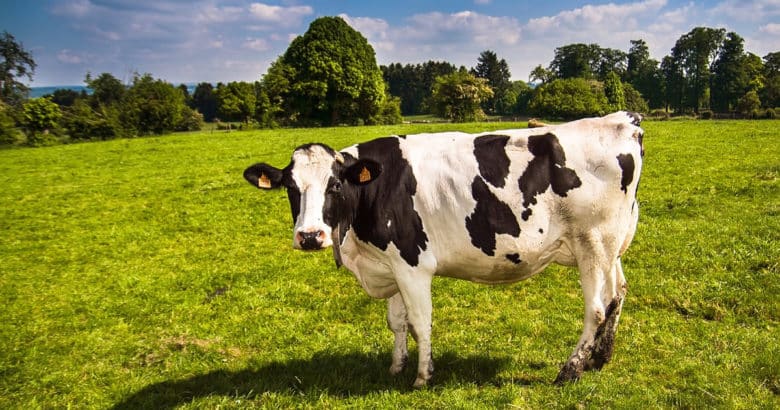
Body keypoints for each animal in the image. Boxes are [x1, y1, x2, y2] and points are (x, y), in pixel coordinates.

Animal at [243, 111, 644, 387]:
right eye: (291, 188)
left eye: (335, 185)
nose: (310, 236)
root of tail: (623, 120)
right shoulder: (390, 263)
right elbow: (397, 321)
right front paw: (396, 366)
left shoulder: (412, 264)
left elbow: (420, 321)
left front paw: (422, 376)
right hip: (610, 245)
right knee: (618, 293)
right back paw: (599, 358)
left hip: (592, 243)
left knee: (596, 308)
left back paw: (570, 370)